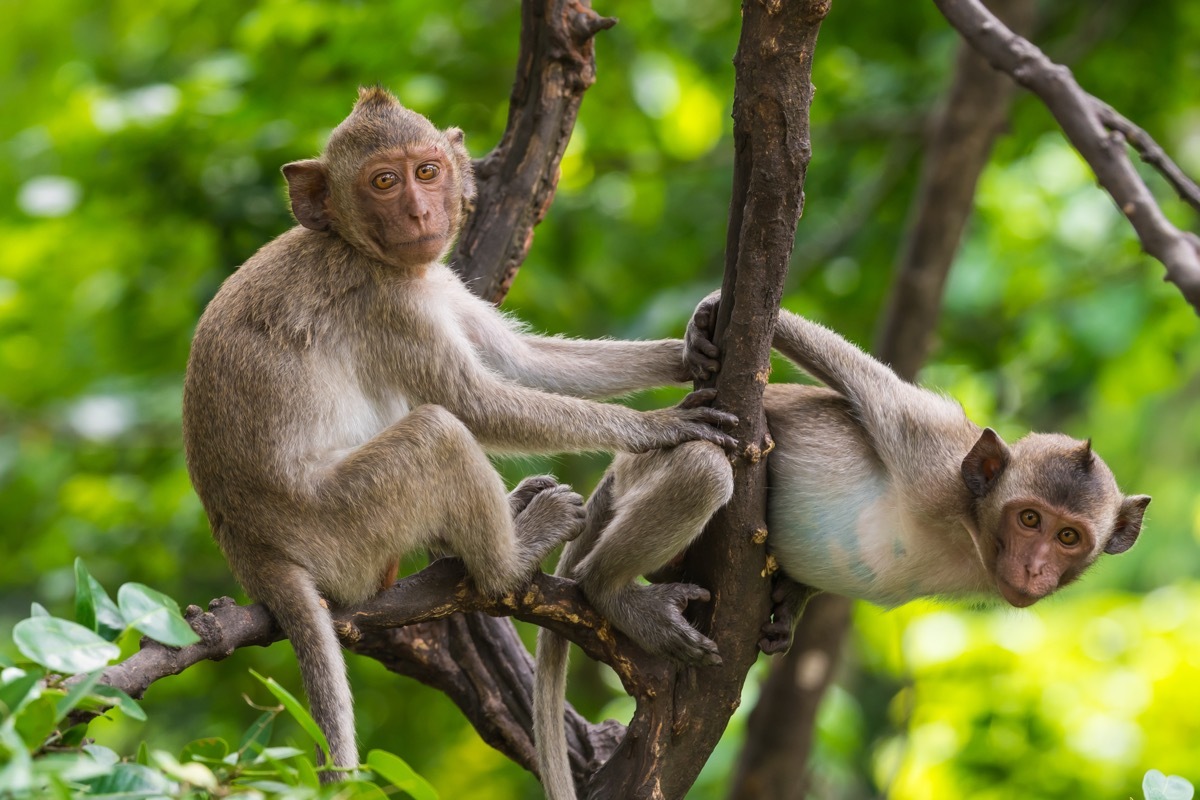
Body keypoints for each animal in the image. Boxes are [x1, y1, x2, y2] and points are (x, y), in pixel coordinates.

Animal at [181, 89, 734, 782]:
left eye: (427, 171)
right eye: (383, 182)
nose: (420, 211)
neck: (364, 250)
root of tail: (251, 550)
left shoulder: (433, 281)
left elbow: (522, 359)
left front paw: (692, 344)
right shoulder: (388, 307)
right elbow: (475, 403)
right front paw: (658, 426)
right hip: (339, 526)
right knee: (437, 432)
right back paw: (509, 559)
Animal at [532, 293, 1142, 800]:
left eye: (1068, 537)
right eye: (1029, 519)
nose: (1035, 568)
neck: (971, 533)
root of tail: (619, 465)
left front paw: (789, 606)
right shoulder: (935, 458)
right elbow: (872, 389)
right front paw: (707, 317)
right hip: (648, 468)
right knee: (702, 469)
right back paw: (612, 590)